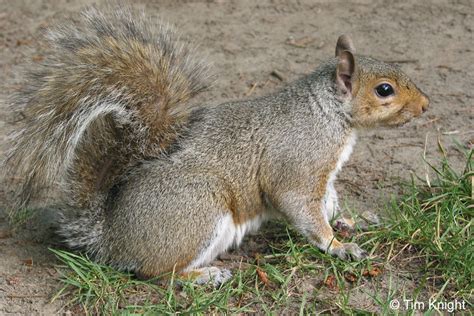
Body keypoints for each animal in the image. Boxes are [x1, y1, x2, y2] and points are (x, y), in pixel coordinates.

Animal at [3, 6, 428, 286]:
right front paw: (338, 246)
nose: (426, 105)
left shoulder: (325, 178)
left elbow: (329, 202)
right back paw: (205, 275)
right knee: (157, 273)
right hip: (199, 209)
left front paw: (350, 220)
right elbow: (302, 209)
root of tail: (109, 236)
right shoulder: (298, 165)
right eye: (384, 90)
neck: (328, 114)